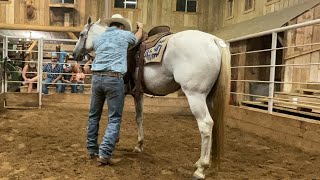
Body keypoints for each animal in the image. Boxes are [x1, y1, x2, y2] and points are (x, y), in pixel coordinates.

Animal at [73, 17, 230, 180]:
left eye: (82, 34)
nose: (75, 54)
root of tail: (214, 40)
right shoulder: (138, 93)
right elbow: (139, 118)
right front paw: (139, 145)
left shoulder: (120, 92)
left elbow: (115, 117)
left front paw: (115, 141)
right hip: (208, 97)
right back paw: (200, 162)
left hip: (195, 95)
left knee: (206, 125)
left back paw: (201, 168)